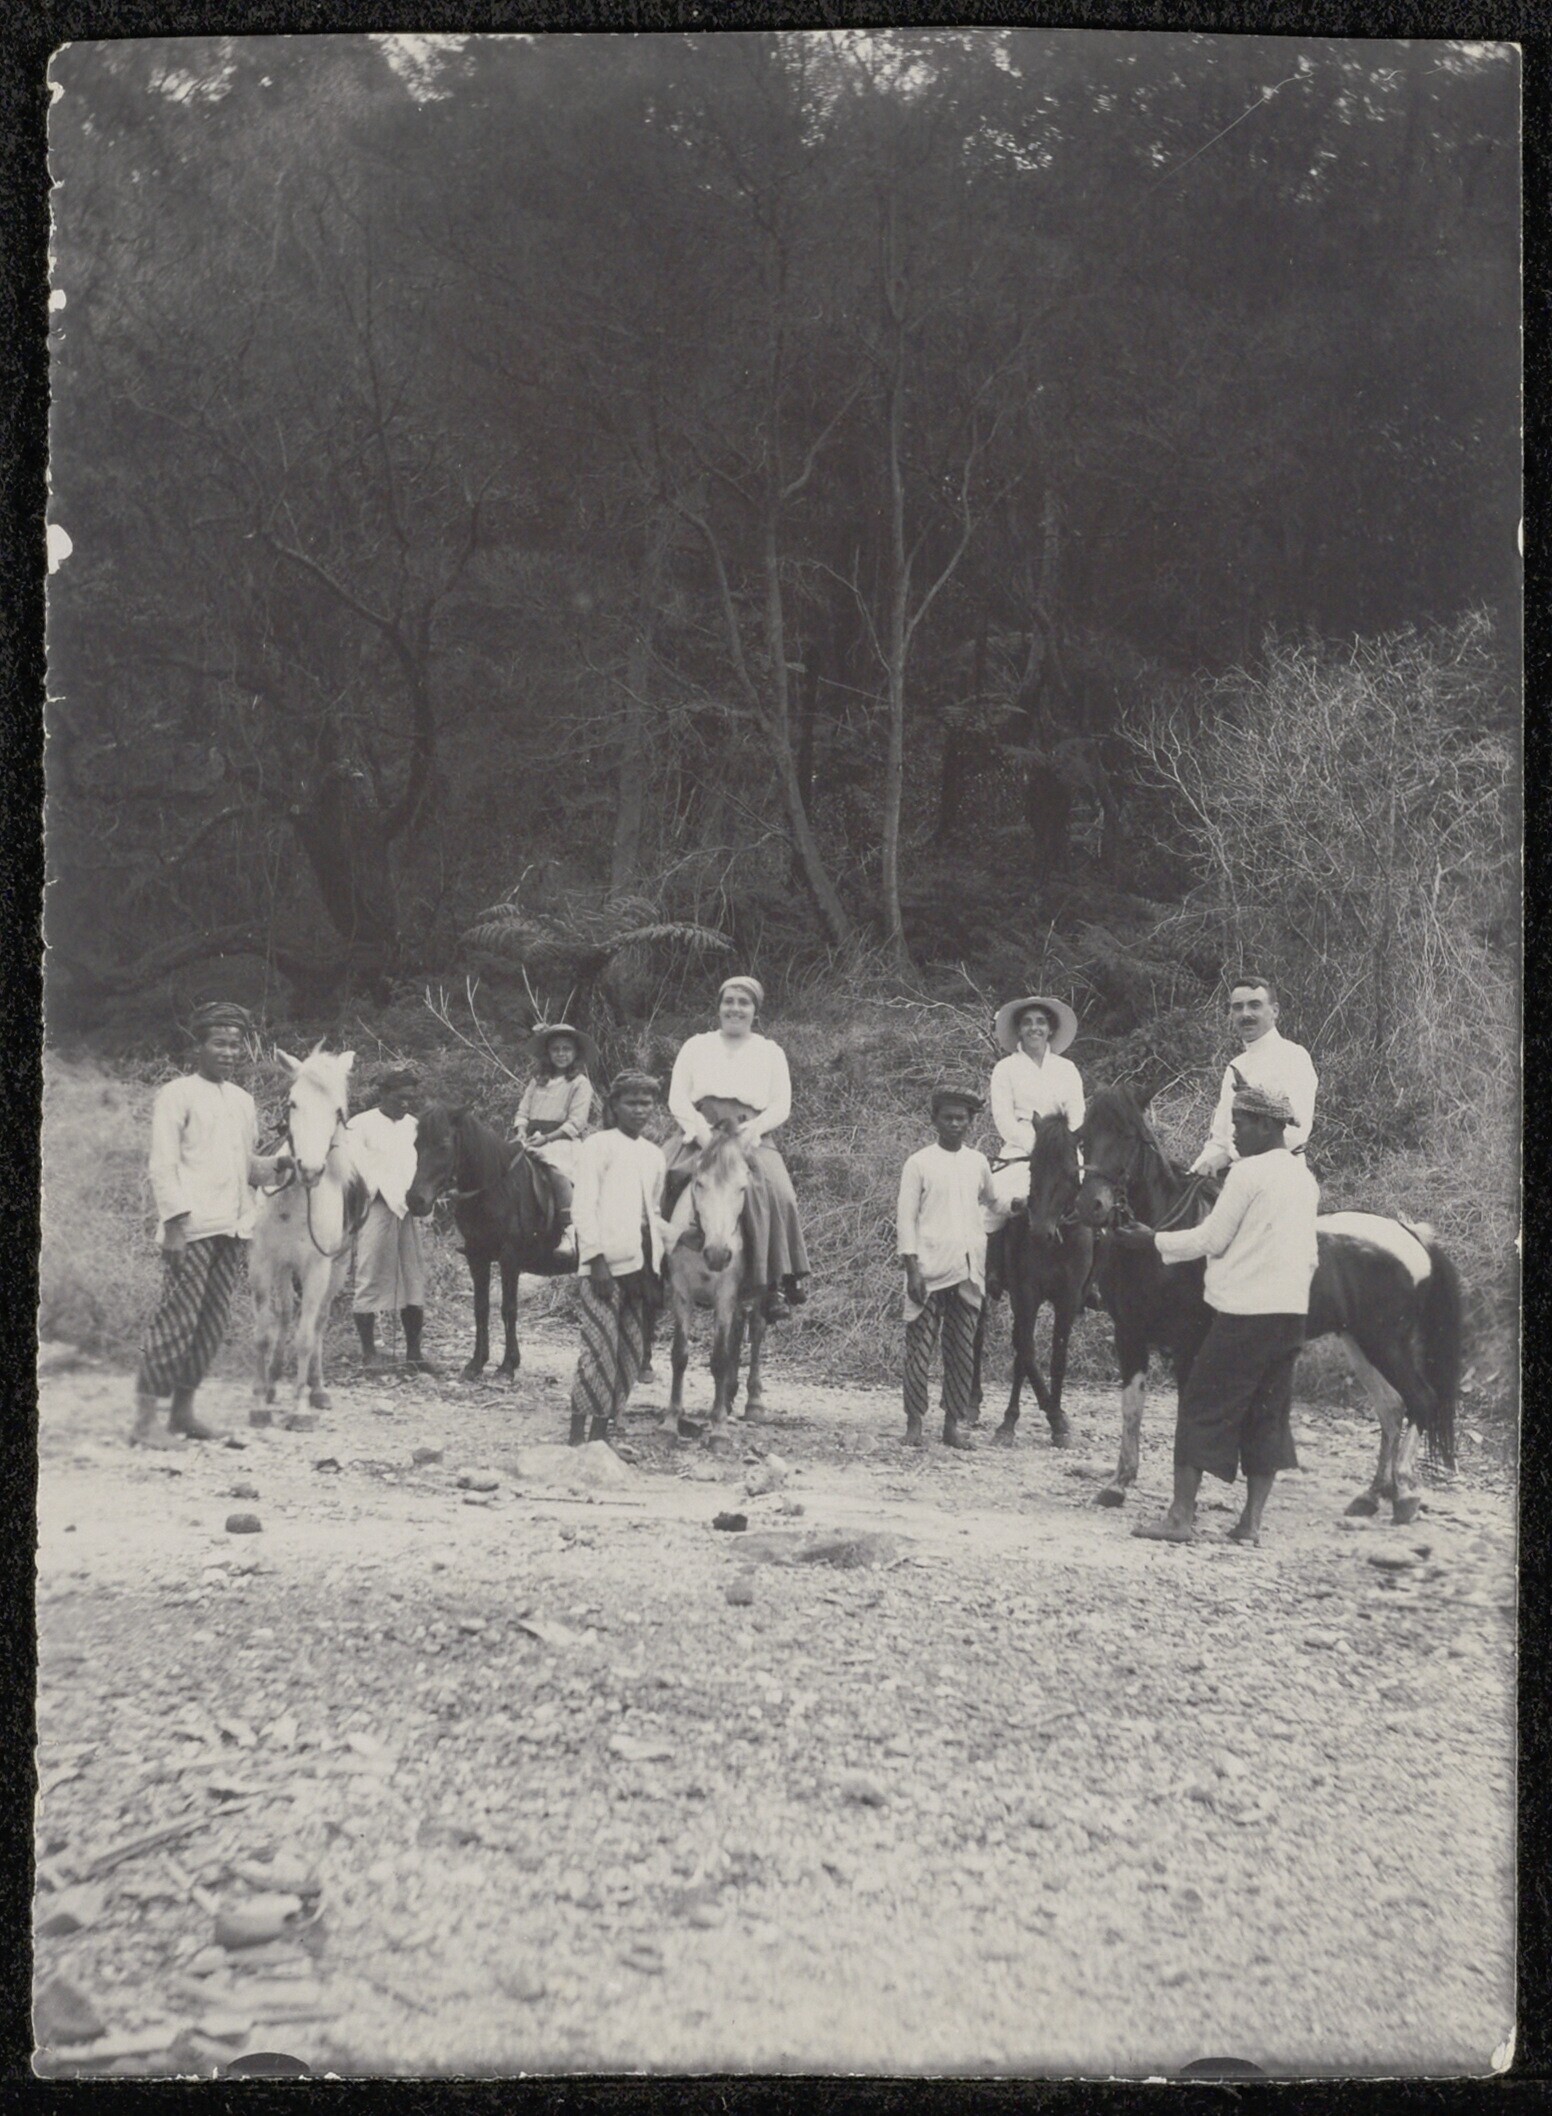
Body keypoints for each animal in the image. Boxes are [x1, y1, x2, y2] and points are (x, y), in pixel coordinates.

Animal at [250, 1046, 369, 1427]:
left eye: (337, 1111)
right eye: (293, 1103)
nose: (311, 1170)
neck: (294, 1200)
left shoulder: (317, 1268)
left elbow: (305, 1335)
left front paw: (300, 1409)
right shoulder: (263, 1263)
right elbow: (265, 1333)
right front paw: (260, 1403)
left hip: (338, 1266)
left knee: (318, 1321)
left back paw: (317, 1389)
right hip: (285, 1269)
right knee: (287, 1314)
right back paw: (274, 1383)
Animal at [404, 1103, 572, 1382]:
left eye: (444, 1145)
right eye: (417, 1144)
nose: (416, 1201)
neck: (496, 1188)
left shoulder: (509, 1259)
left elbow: (508, 1308)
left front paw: (507, 1366)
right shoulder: (477, 1257)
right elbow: (480, 1308)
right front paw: (476, 1363)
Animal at [663, 1102, 768, 1449]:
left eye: (742, 1188)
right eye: (699, 1183)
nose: (719, 1255)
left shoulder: (725, 1296)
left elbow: (720, 1358)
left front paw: (719, 1429)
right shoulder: (681, 1292)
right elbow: (680, 1354)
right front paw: (671, 1422)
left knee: (756, 1330)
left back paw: (752, 1402)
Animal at [991, 1112, 1096, 1450]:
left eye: (1070, 1171)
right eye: (1032, 1167)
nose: (1039, 1232)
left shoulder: (1068, 1298)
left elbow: (1057, 1357)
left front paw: (1058, 1419)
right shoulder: (1025, 1294)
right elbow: (1027, 1350)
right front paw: (1013, 1421)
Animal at [1074, 1084, 1461, 1525]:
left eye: (1128, 1136)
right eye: (1083, 1138)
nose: (1092, 1205)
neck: (1164, 1245)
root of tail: (1410, 1232)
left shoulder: (1192, 1348)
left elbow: (1190, 1420)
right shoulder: (1130, 1337)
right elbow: (1131, 1411)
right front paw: (1118, 1484)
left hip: (1386, 1344)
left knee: (1421, 1401)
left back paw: (1406, 1492)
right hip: (1360, 1344)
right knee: (1392, 1409)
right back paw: (1373, 1495)